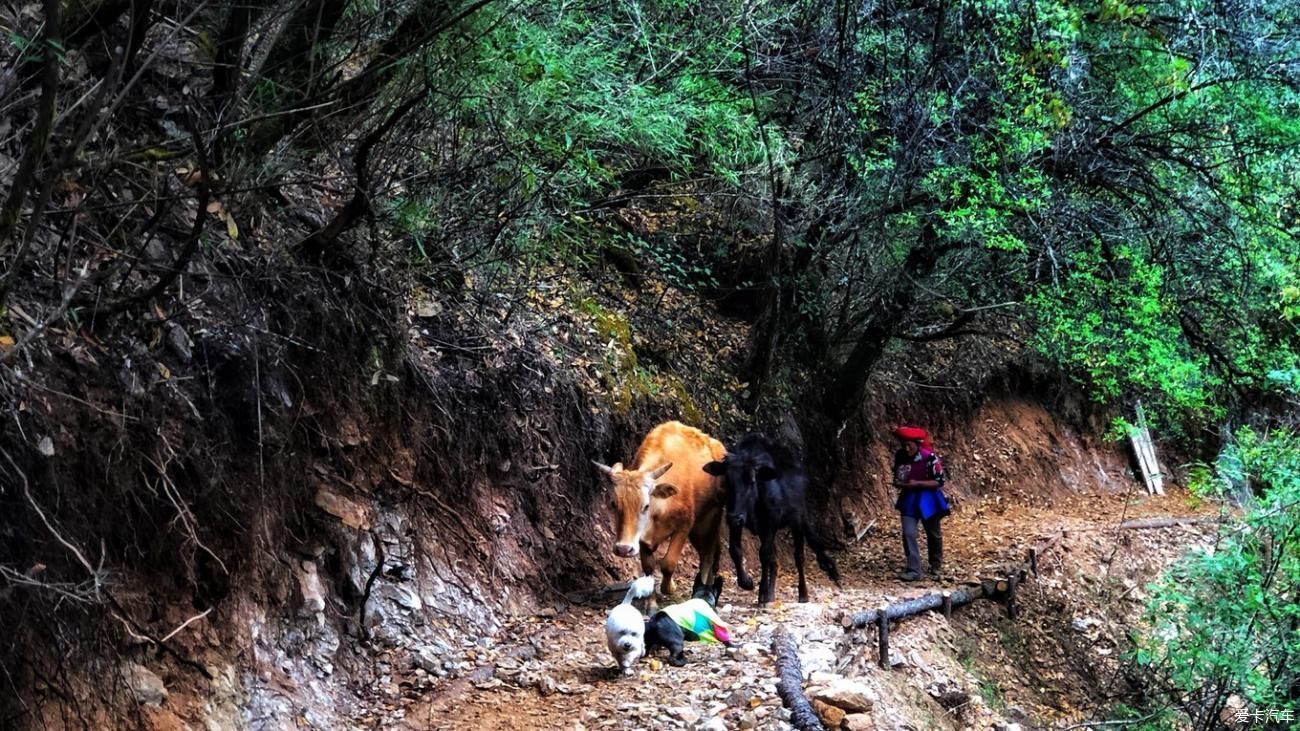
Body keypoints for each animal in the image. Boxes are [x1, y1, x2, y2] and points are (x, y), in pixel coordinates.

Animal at [595, 418, 728, 595]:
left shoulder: (684, 526)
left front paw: (669, 588)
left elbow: (668, 563)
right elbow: (648, 566)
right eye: (613, 504)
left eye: (646, 506)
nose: (624, 549)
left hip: (709, 520)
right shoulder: (642, 538)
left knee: (708, 554)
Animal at [702, 431, 842, 603]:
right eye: (727, 481)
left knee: (798, 556)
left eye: (752, 481)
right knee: (775, 560)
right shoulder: (738, 522)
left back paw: (803, 594)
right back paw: (772, 593)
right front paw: (747, 582)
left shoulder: (770, 522)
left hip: (797, 520)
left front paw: (762, 593)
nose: (734, 516)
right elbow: (735, 549)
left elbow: (764, 554)